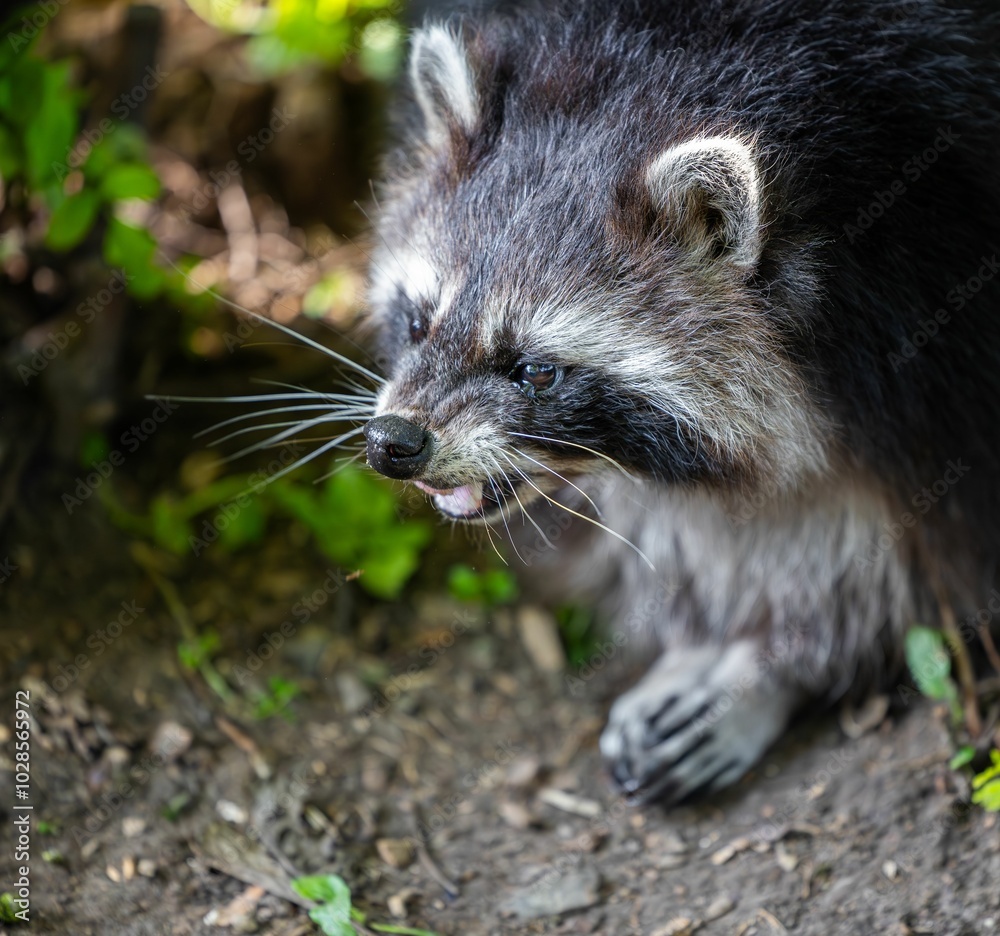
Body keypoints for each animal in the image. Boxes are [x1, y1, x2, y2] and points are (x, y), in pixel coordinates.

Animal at [361, 0, 1000, 805]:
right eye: (419, 322)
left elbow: (925, 528)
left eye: (535, 371)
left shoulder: (943, 305)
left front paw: (786, 657)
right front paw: (709, 629)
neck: (665, 65)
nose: (394, 442)